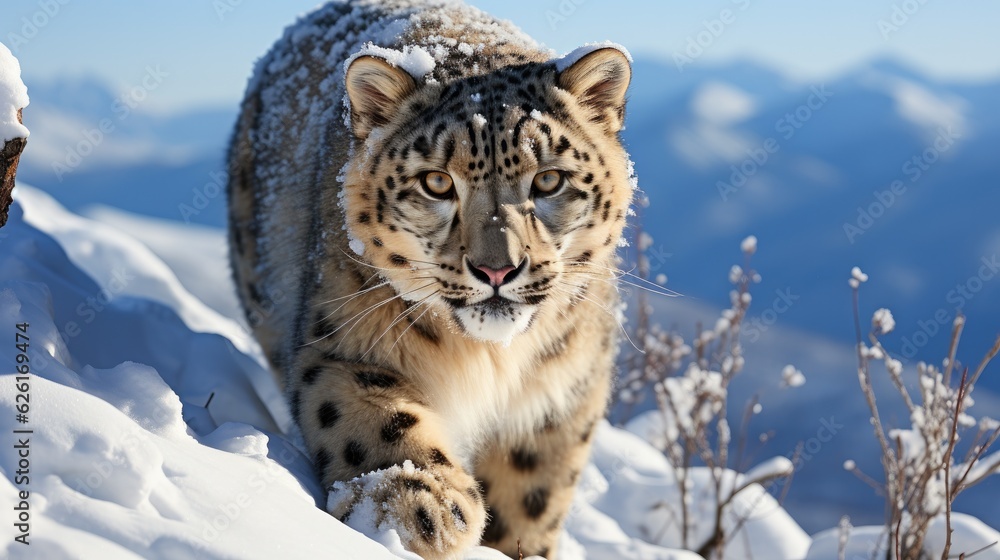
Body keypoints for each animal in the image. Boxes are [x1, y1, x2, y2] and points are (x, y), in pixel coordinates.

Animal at [227, 1, 633, 558]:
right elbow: (369, 414)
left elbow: (533, 493)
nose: (497, 268)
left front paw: (508, 541)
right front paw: (416, 501)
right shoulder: (341, 344)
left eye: (549, 179)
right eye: (437, 182)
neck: (490, 358)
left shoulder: (565, 392)